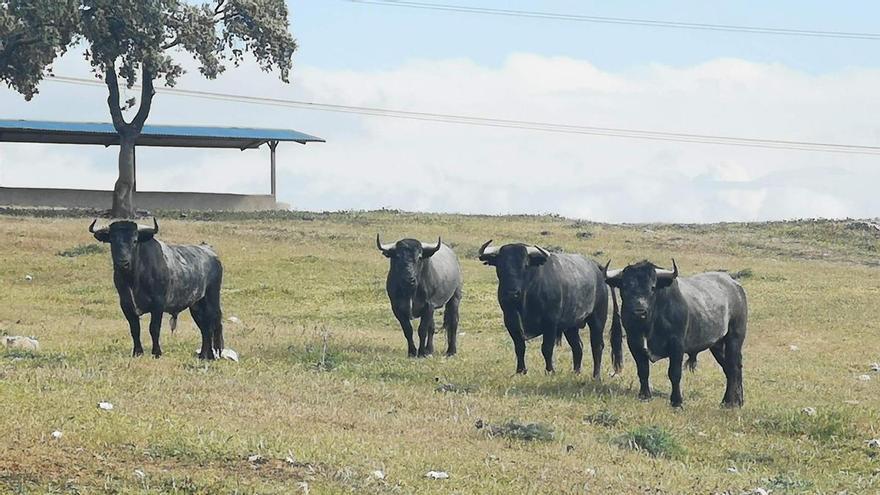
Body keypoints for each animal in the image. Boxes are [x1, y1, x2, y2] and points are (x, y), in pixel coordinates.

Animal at [90, 221, 225, 360]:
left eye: (135, 240)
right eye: (112, 240)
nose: (123, 262)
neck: (133, 279)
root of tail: (209, 251)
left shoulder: (158, 304)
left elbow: (154, 328)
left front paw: (156, 352)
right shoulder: (126, 305)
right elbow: (135, 329)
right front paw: (137, 352)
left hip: (212, 299)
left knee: (213, 324)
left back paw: (212, 355)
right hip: (196, 305)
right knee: (204, 327)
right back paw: (204, 355)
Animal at [478, 242, 624, 378]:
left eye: (525, 265)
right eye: (500, 265)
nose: (511, 293)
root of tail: (598, 270)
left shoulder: (550, 323)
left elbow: (546, 348)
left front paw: (550, 371)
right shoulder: (511, 320)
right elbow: (519, 346)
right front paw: (521, 371)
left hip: (597, 319)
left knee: (597, 346)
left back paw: (596, 375)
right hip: (571, 326)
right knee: (578, 346)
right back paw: (576, 372)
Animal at [604, 262, 748, 408]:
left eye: (652, 287)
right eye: (625, 286)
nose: (640, 311)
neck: (649, 324)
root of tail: (734, 285)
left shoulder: (677, 345)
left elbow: (674, 373)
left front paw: (677, 401)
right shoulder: (634, 343)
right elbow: (643, 370)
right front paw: (645, 396)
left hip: (734, 338)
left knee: (733, 367)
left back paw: (730, 402)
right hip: (717, 344)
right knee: (730, 368)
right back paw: (736, 400)